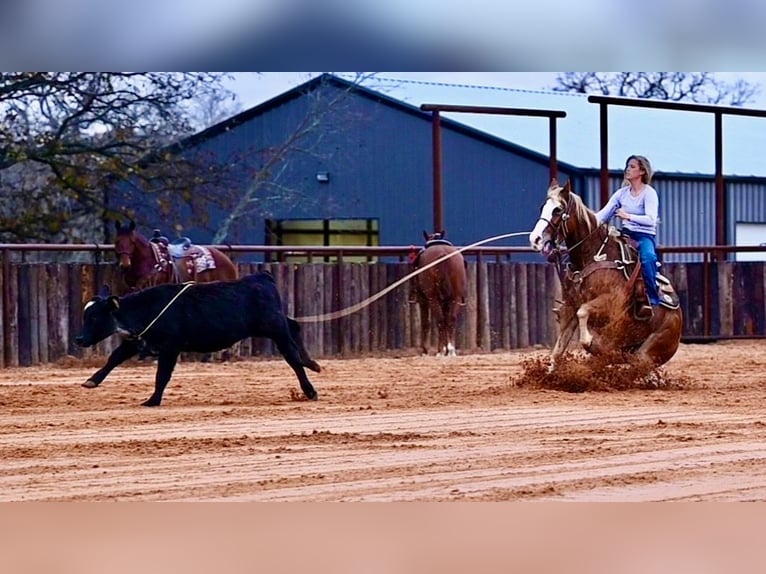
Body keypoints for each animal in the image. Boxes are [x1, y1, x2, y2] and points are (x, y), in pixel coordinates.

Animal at [528, 179, 684, 368]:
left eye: (558, 210)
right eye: (543, 207)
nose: (535, 239)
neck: (592, 257)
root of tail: (678, 318)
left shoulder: (610, 302)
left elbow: (584, 313)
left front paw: (590, 341)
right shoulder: (569, 308)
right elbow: (558, 350)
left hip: (648, 353)